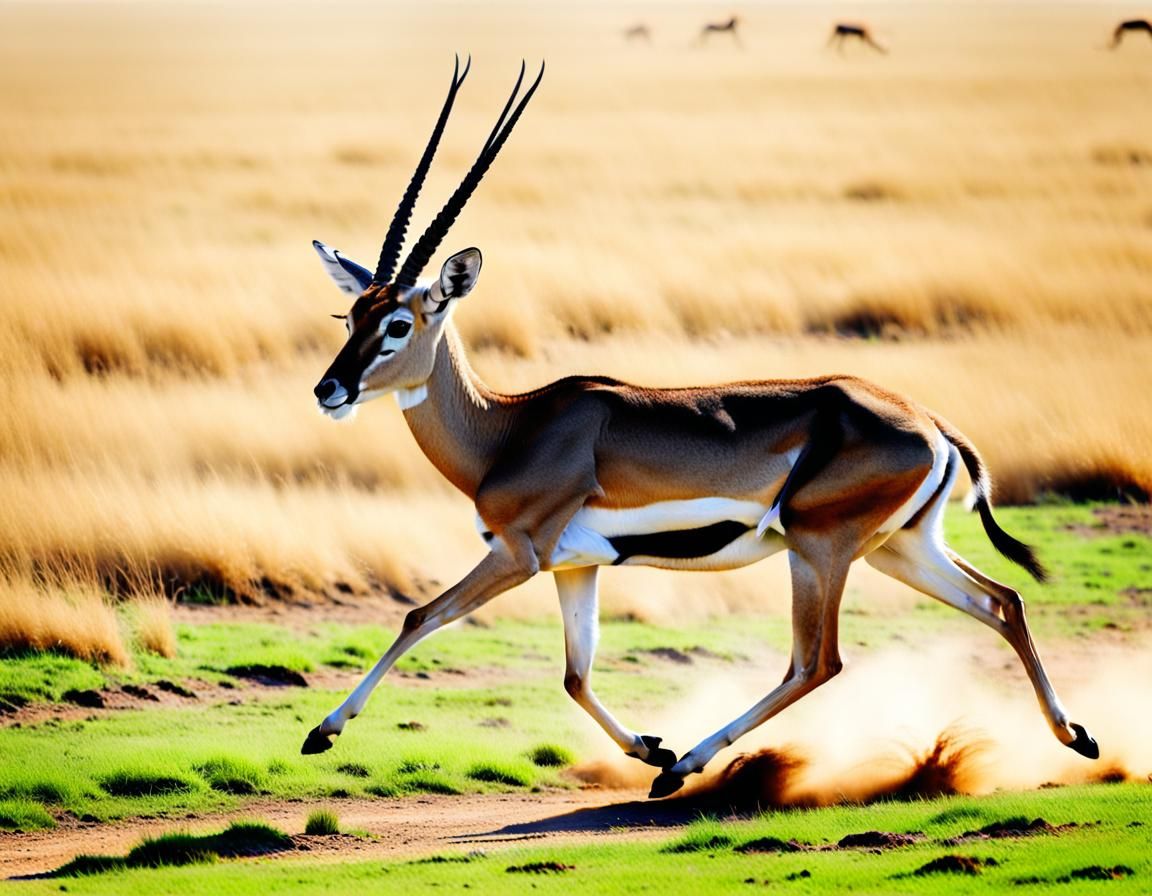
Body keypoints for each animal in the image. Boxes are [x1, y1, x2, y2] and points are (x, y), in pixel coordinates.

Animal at [301, 59, 1099, 798]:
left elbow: (420, 617)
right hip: (899, 549)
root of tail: (930, 422)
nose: (329, 389)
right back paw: (1078, 737)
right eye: (352, 315)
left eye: (399, 323)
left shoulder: (518, 555)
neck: (511, 427)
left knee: (818, 661)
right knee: (1001, 600)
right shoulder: (576, 567)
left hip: (817, 549)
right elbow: (575, 674)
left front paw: (323, 730)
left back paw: (688, 767)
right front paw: (648, 746)